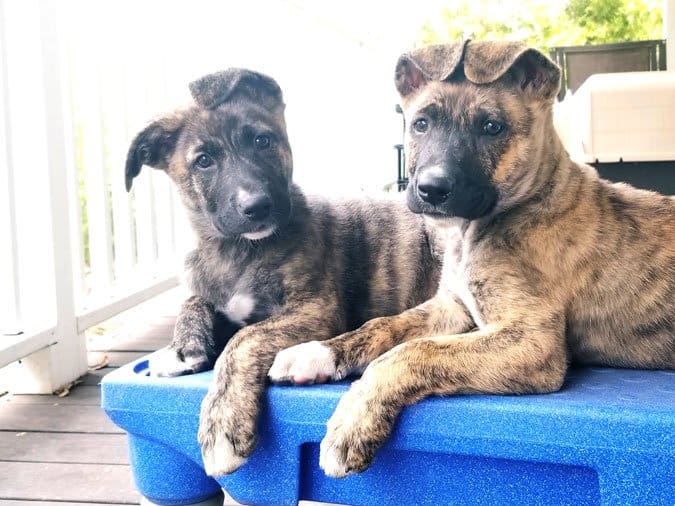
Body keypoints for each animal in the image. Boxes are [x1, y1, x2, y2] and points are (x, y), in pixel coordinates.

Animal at [125, 69, 444, 476]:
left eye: (262, 141)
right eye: (203, 161)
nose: (257, 206)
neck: (237, 250)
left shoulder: (316, 312)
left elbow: (244, 339)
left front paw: (222, 423)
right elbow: (194, 301)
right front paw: (182, 348)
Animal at [270, 40, 675, 478]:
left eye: (492, 127)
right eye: (420, 124)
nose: (431, 189)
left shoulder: (532, 341)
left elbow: (414, 351)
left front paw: (352, 421)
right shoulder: (450, 307)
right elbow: (382, 326)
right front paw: (315, 352)